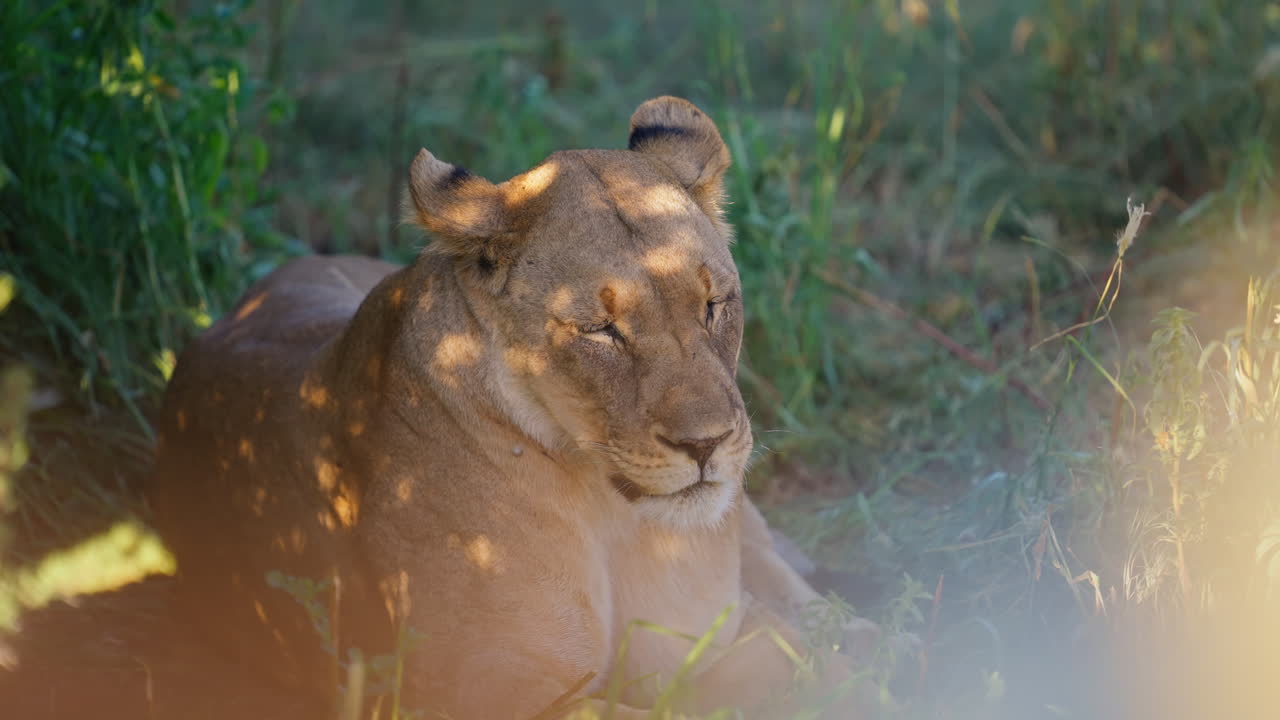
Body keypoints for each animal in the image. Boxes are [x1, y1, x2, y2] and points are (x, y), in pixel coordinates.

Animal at [149, 96, 881, 719]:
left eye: (713, 304)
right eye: (600, 331)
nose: (707, 444)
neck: (613, 514)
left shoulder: (697, 637)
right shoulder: (492, 687)